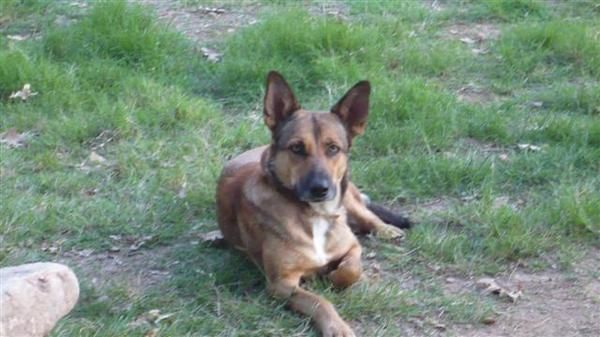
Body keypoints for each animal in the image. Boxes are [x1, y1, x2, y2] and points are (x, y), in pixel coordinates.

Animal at [217, 71, 412, 336]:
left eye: (333, 148)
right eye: (297, 148)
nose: (321, 189)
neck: (315, 215)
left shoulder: (352, 246)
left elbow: (352, 269)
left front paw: (336, 276)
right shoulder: (281, 284)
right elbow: (319, 301)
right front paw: (337, 326)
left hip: (347, 195)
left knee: (365, 214)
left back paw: (386, 229)